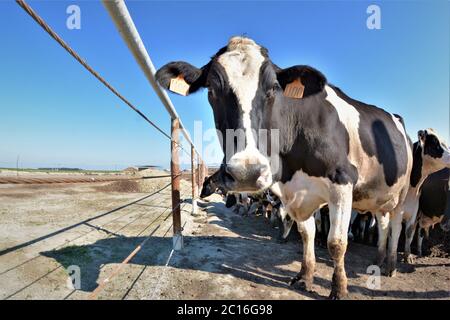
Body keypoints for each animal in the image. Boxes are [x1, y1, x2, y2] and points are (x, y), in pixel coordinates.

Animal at [156, 36, 416, 298]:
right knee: (383, 223)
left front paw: (339, 289)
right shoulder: (296, 194)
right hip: (378, 196)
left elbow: (336, 242)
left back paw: (391, 265)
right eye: (211, 90)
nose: (246, 173)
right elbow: (306, 233)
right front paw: (305, 276)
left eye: (273, 88)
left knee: (395, 225)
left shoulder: (342, 182)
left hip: (403, 192)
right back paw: (379, 259)